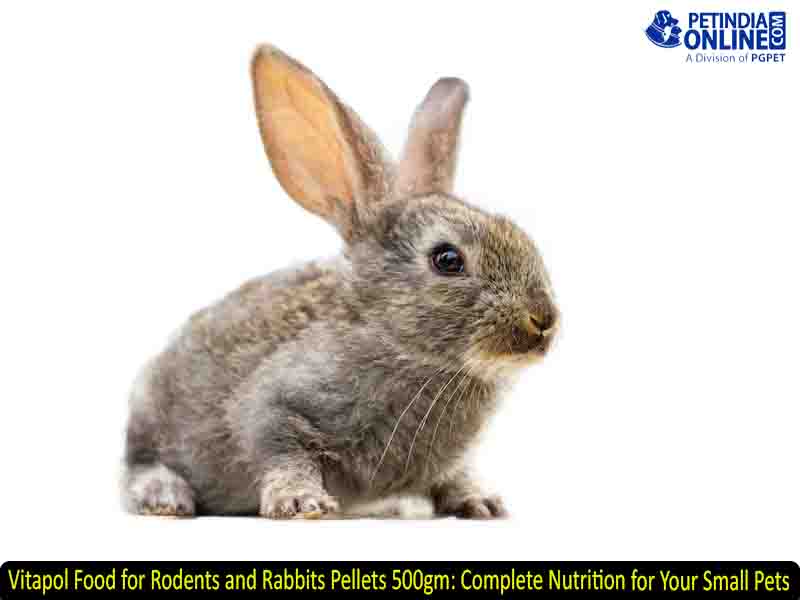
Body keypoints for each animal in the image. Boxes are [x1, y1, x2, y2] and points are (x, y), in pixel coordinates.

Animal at [122, 44, 559, 519]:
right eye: (447, 260)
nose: (544, 319)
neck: (397, 344)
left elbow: (455, 475)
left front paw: (483, 502)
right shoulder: (274, 406)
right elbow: (282, 450)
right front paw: (301, 502)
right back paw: (166, 496)